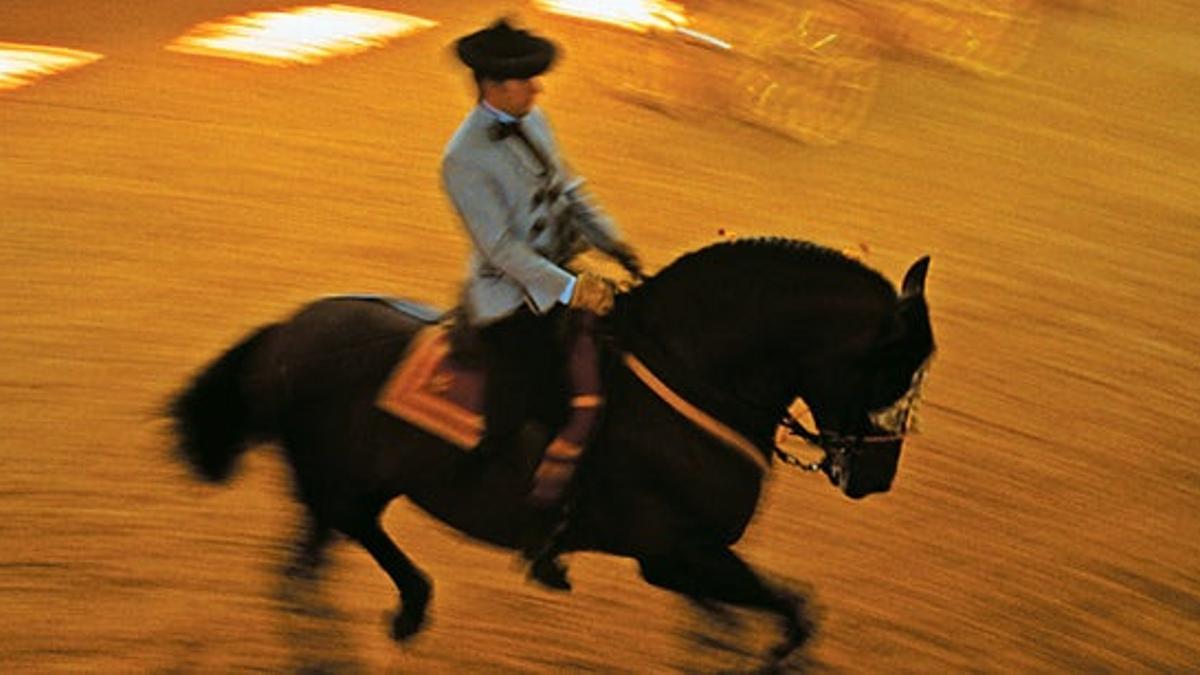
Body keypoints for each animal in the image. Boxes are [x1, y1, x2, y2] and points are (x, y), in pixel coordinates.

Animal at [169, 237, 936, 662]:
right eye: (891, 371)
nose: (879, 473)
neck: (690, 377)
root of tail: (287, 329)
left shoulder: (691, 563)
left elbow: (729, 631)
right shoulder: (674, 554)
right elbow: (793, 617)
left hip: (352, 489)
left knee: (327, 559)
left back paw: (409, 606)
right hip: (330, 484)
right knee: (313, 568)